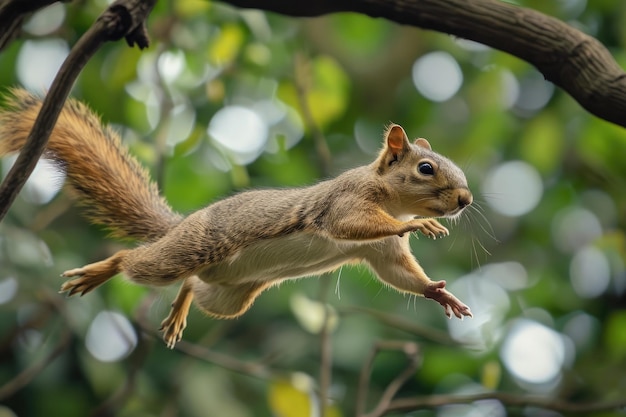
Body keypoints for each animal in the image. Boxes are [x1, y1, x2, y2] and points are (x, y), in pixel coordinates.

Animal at [0, 88, 468, 348]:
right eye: (426, 168)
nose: (465, 199)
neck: (391, 200)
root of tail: (180, 226)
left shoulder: (384, 252)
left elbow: (397, 272)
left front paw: (438, 293)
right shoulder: (345, 201)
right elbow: (347, 225)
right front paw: (418, 225)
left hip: (231, 298)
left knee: (194, 285)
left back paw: (179, 311)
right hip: (185, 252)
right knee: (136, 263)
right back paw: (102, 271)